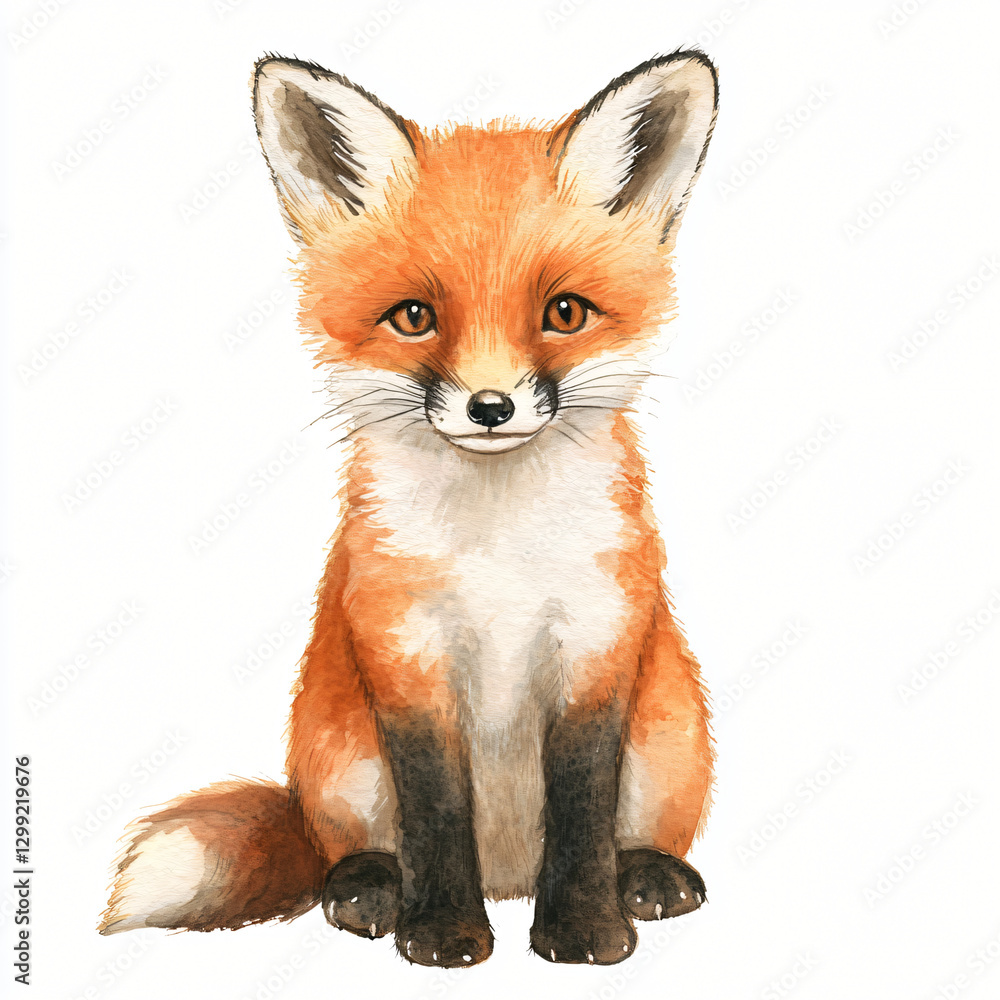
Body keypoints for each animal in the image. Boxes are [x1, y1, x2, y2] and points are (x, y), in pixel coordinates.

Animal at [100, 50, 719, 967]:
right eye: (414, 317)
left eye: (564, 312)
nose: (492, 407)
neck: (498, 552)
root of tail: (510, 875)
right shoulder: (403, 650)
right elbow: (435, 807)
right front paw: (442, 932)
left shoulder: (597, 644)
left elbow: (581, 802)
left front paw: (584, 931)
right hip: (339, 757)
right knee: (352, 847)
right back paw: (370, 889)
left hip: (670, 741)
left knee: (636, 828)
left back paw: (647, 875)